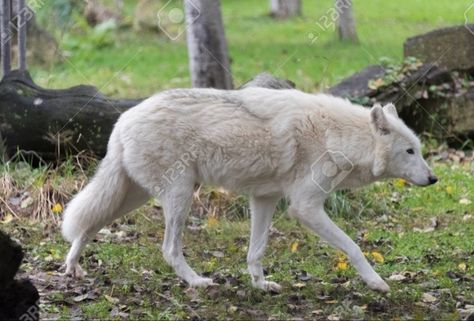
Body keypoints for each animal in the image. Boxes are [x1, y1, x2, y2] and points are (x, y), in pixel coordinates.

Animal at [62, 87, 436, 292]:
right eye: (409, 151)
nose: (433, 179)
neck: (339, 136)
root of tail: (122, 119)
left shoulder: (265, 199)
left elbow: (256, 251)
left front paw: (260, 285)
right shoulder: (305, 207)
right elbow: (354, 247)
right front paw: (376, 283)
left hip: (131, 196)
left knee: (87, 223)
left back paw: (72, 267)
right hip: (179, 196)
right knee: (168, 249)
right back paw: (197, 282)